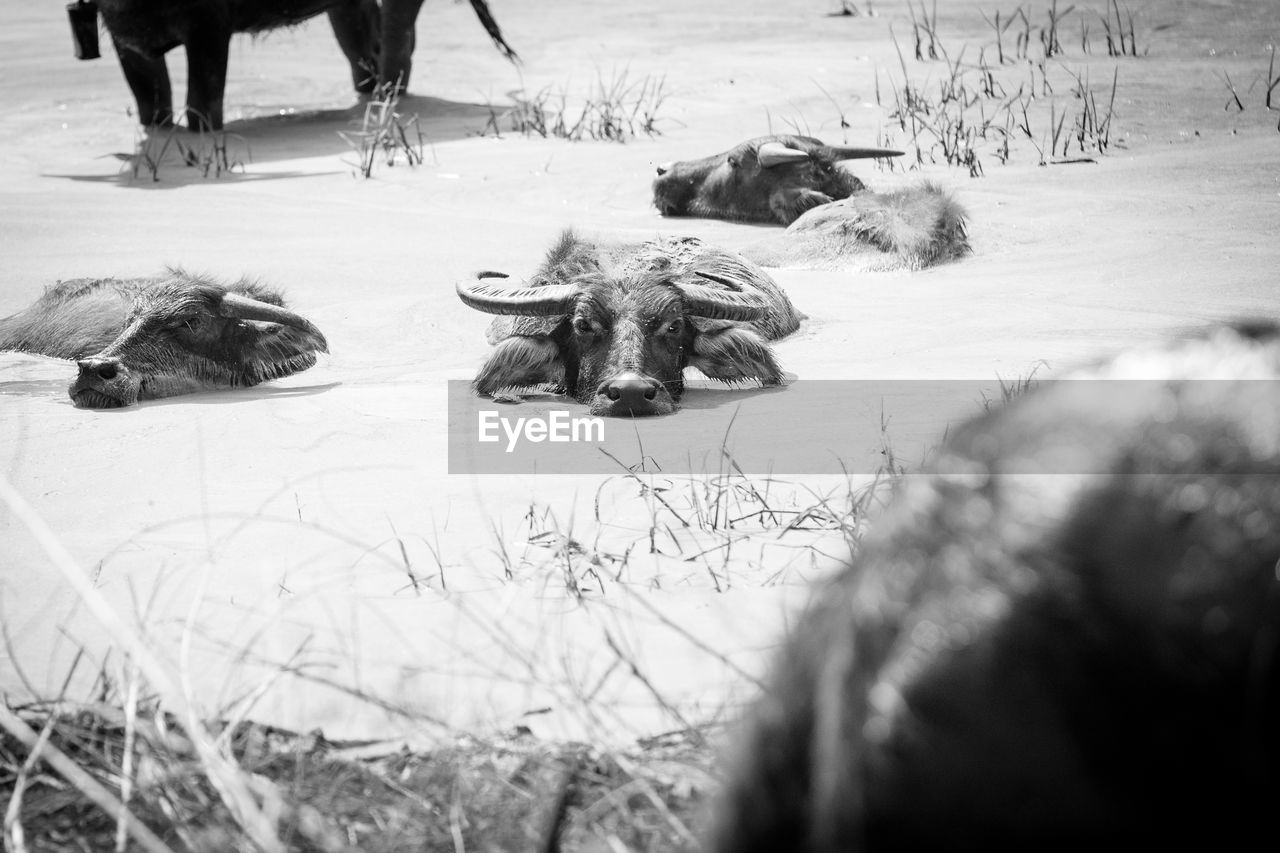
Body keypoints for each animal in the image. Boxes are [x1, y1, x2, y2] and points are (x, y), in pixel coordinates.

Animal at [94, 0, 514, 129]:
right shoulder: (124, 39)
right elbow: (151, 102)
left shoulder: (209, 27)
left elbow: (202, 102)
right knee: (371, 49)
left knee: (395, 45)